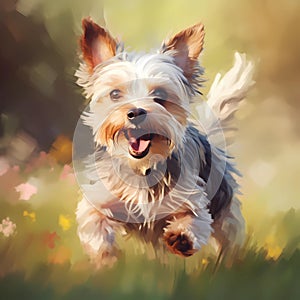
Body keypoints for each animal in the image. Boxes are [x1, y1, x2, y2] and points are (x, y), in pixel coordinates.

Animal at [74, 18, 254, 268]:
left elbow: (194, 217)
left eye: (160, 94)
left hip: (225, 207)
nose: (135, 113)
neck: (142, 168)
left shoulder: (191, 196)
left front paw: (182, 238)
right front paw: (106, 261)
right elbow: (93, 222)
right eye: (115, 94)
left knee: (229, 237)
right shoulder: (101, 198)